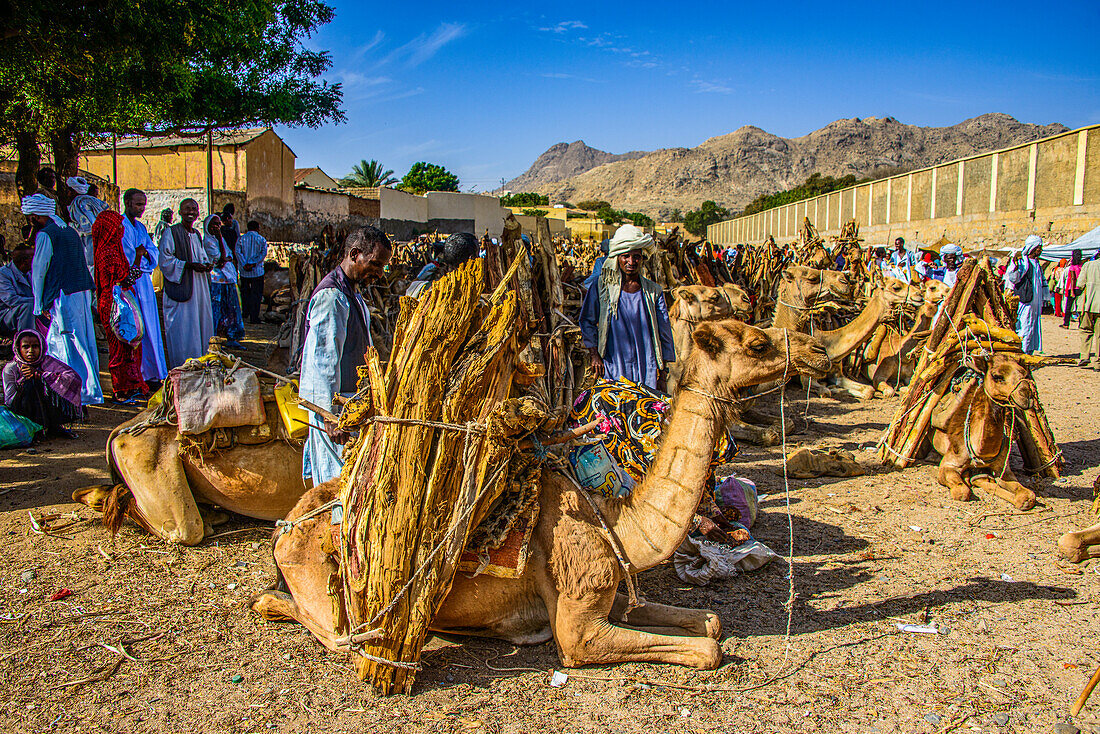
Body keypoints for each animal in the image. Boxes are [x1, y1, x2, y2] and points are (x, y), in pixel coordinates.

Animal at [251, 319, 831, 673]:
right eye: (756, 343)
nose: (818, 350)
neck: (617, 523)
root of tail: (285, 528)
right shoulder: (579, 627)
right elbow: (706, 649)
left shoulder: (613, 588)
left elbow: (709, 621)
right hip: (326, 585)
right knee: (331, 632)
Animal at [928, 352, 1038, 508]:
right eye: (997, 376)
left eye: (1024, 373)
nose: (1027, 395)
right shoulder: (948, 464)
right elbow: (962, 492)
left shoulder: (1003, 469)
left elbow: (1027, 495)